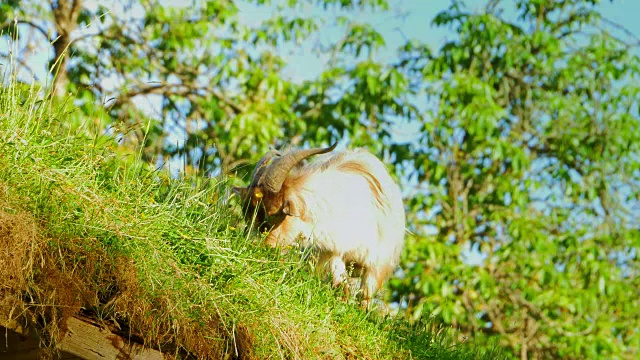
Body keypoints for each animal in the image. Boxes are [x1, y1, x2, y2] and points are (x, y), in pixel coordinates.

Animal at [234, 142, 404, 308]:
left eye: (275, 213)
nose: (259, 247)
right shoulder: (333, 253)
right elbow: (341, 287)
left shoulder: (377, 264)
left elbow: (365, 297)